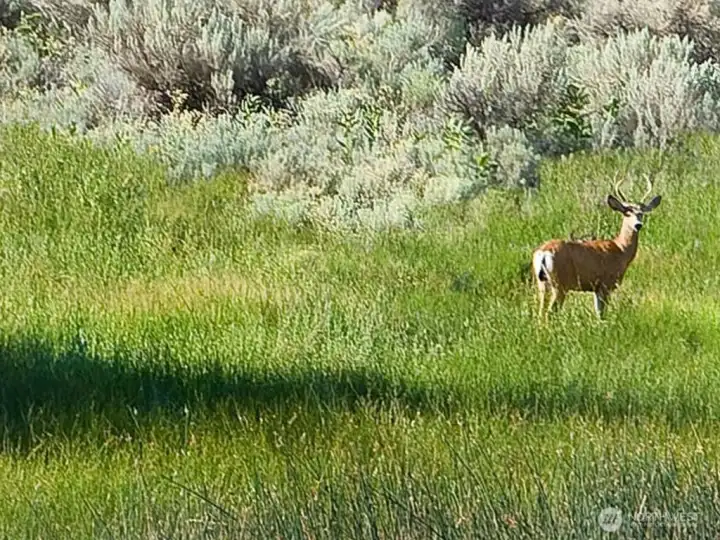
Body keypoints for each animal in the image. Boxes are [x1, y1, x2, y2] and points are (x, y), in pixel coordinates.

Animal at [532, 172, 662, 320]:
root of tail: (543, 252)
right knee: (550, 313)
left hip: (542, 283)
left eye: (642, 213)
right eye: (626, 213)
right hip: (560, 284)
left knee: (540, 313)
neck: (621, 249)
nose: (638, 225)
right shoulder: (605, 284)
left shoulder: (596, 287)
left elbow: (598, 313)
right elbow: (602, 313)